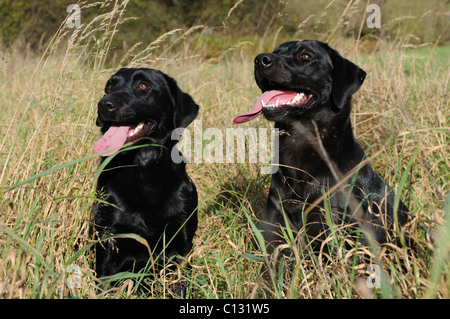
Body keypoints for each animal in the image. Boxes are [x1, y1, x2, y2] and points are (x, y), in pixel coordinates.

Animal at [93, 67, 199, 288]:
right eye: (109, 86)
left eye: (143, 85)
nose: (104, 104)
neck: (142, 169)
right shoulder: (108, 242)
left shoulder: (180, 246)